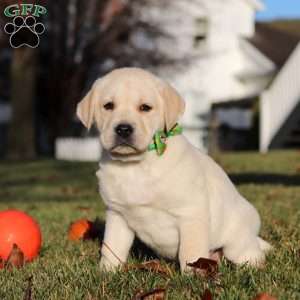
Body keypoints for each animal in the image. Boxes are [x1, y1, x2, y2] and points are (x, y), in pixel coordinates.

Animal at [76, 67, 270, 272]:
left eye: (145, 107)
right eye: (108, 106)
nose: (123, 129)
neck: (136, 166)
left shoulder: (191, 212)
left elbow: (191, 251)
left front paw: (193, 274)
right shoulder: (117, 214)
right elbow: (112, 247)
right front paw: (107, 271)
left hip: (237, 243)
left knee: (251, 254)